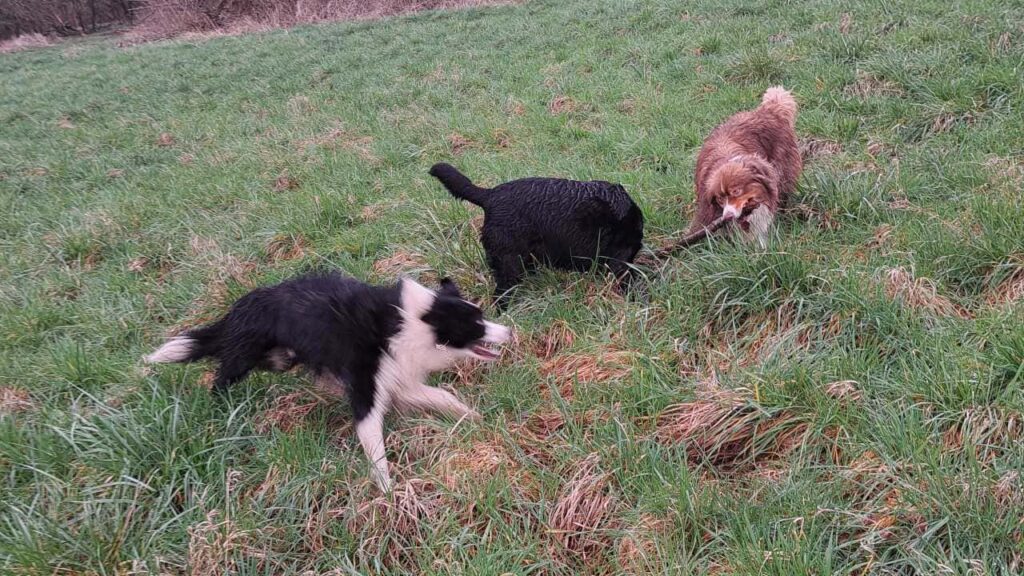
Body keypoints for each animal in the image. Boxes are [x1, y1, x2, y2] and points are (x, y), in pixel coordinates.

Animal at [144, 272, 512, 487]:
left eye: (482, 316)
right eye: (476, 324)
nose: (510, 331)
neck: (408, 325)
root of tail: (239, 306)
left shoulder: (398, 376)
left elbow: (444, 397)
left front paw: (473, 418)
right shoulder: (365, 386)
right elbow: (373, 442)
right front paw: (387, 491)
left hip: (281, 357)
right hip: (242, 356)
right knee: (221, 376)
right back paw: (220, 412)